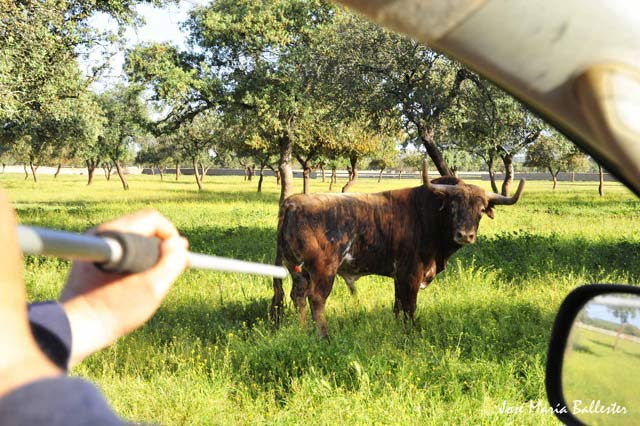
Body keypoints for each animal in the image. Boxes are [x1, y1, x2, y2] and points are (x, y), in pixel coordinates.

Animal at [270, 163, 524, 336]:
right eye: (453, 206)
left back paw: (303, 330)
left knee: (298, 296)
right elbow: (409, 307)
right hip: (323, 270)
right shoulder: (411, 274)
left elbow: (398, 305)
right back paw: (323, 335)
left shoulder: (399, 276)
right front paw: (410, 333)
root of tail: (293, 203)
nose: (465, 235)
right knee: (316, 299)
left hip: (298, 271)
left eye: (481, 209)